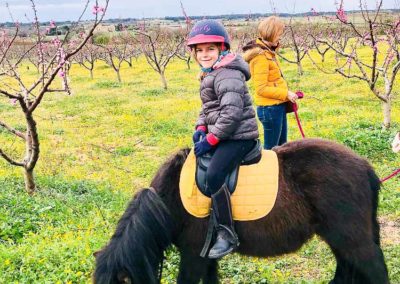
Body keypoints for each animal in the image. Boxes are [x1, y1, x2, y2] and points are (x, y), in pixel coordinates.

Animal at [93, 139, 388, 284]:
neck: (170, 199)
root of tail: (364, 166)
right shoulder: (205, 257)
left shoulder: (192, 256)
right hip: (338, 238)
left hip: (353, 239)